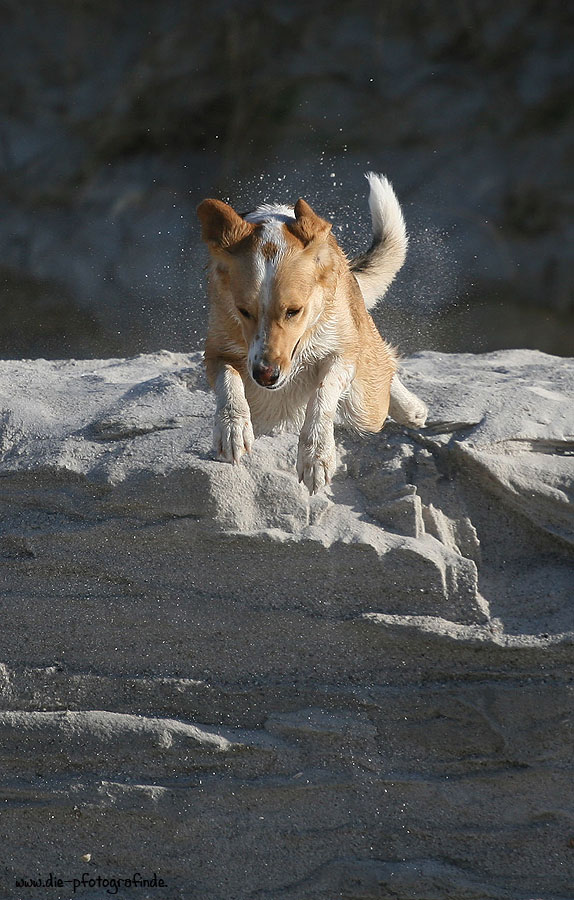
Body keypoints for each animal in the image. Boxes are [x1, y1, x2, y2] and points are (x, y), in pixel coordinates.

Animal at [198, 172, 428, 496]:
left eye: (293, 311)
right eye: (243, 311)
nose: (265, 375)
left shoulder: (342, 353)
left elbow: (324, 391)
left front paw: (316, 455)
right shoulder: (216, 351)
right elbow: (228, 380)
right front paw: (233, 428)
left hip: (365, 406)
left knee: (381, 369)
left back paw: (410, 408)